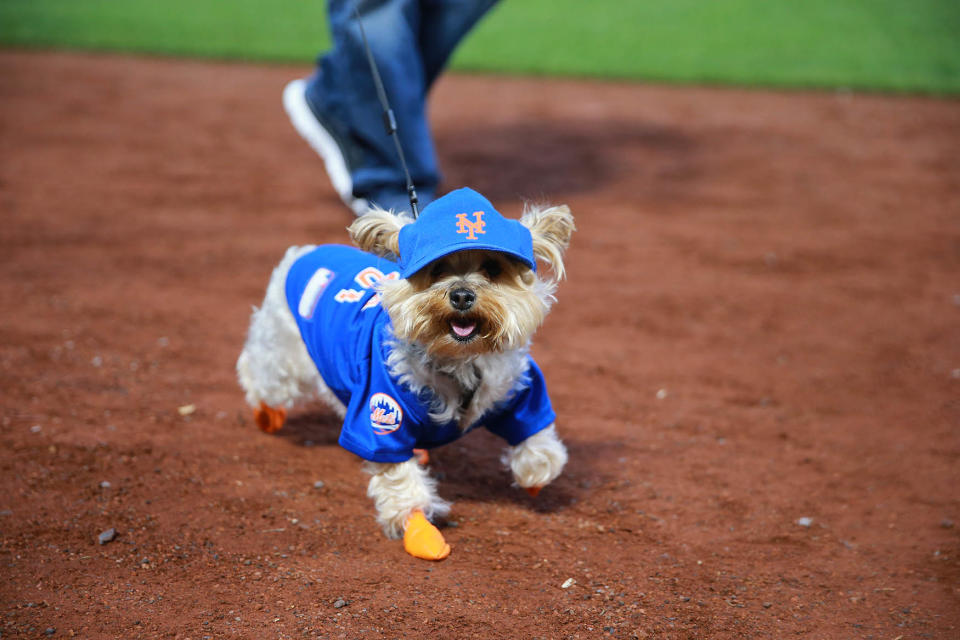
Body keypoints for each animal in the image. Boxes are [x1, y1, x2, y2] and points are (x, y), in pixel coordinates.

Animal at [237, 186, 572, 560]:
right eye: (437, 269)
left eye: (492, 268)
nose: (461, 295)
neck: (459, 359)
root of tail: (307, 251)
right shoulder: (381, 413)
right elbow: (401, 484)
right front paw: (420, 532)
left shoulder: (516, 385)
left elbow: (537, 434)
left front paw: (535, 473)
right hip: (282, 352)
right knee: (258, 370)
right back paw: (266, 414)